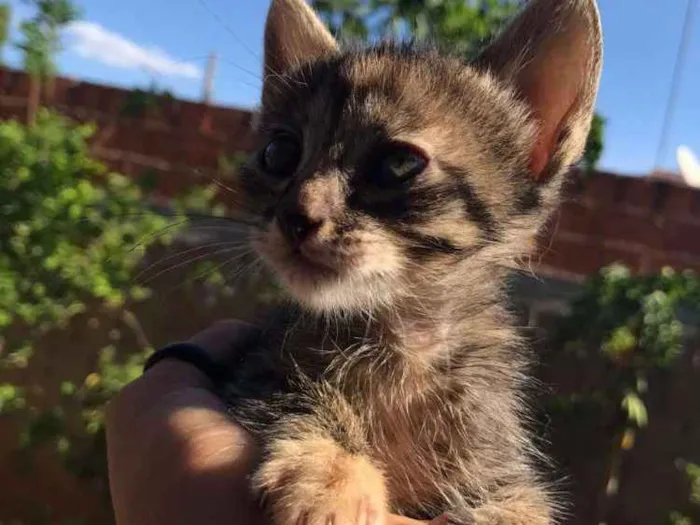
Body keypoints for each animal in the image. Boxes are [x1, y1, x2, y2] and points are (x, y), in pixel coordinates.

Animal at [223, 1, 600, 524]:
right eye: (278, 154)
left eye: (398, 164)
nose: (296, 217)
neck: (402, 348)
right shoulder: (253, 370)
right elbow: (290, 395)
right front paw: (329, 475)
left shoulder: (502, 466)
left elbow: (523, 505)